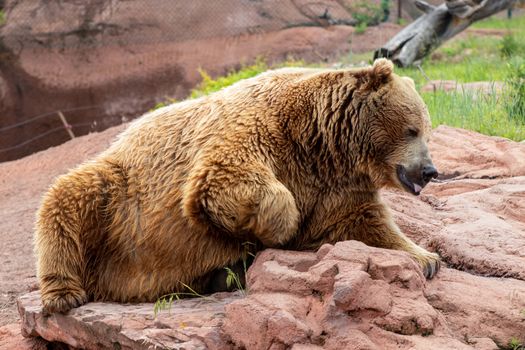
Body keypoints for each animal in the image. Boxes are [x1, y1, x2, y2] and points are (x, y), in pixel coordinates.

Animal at [34, 58, 440, 314]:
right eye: (412, 129)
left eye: (426, 128)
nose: (429, 171)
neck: (321, 138)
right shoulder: (259, 130)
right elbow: (225, 180)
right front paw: (280, 227)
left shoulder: (336, 183)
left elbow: (363, 222)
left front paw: (426, 258)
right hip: (118, 194)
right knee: (67, 198)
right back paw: (64, 294)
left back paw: (220, 277)